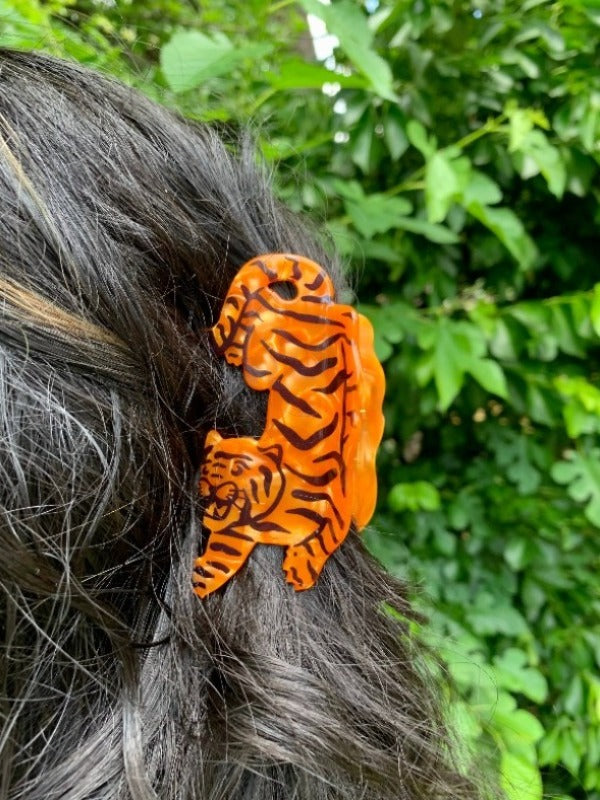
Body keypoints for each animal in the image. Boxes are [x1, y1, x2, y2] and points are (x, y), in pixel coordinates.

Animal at [192, 254, 385, 598]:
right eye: (208, 467)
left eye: (236, 471)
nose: (210, 489)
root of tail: (319, 302)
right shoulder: (236, 533)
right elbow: (217, 564)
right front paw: (198, 587)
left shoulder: (333, 512)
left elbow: (322, 541)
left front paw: (300, 572)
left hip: (264, 362)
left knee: (258, 311)